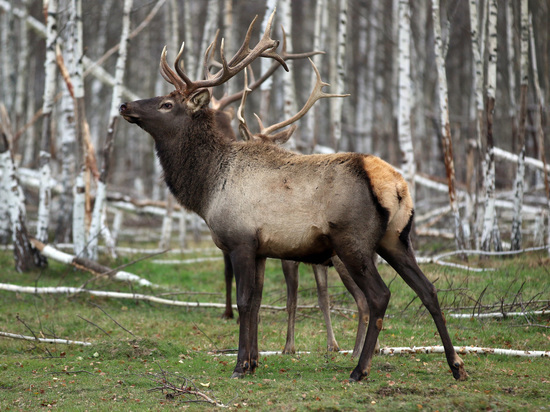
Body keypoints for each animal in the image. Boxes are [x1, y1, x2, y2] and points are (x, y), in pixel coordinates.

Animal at [118, 12, 468, 384]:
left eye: (167, 104)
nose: (125, 104)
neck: (207, 188)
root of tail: (393, 183)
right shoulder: (261, 249)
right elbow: (256, 302)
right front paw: (254, 361)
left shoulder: (241, 240)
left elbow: (244, 301)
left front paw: (240, 366)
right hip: (397, 238)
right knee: (428, 289)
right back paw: (456, 365)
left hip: (353, 240)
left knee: (379, 295)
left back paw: (359, 369)